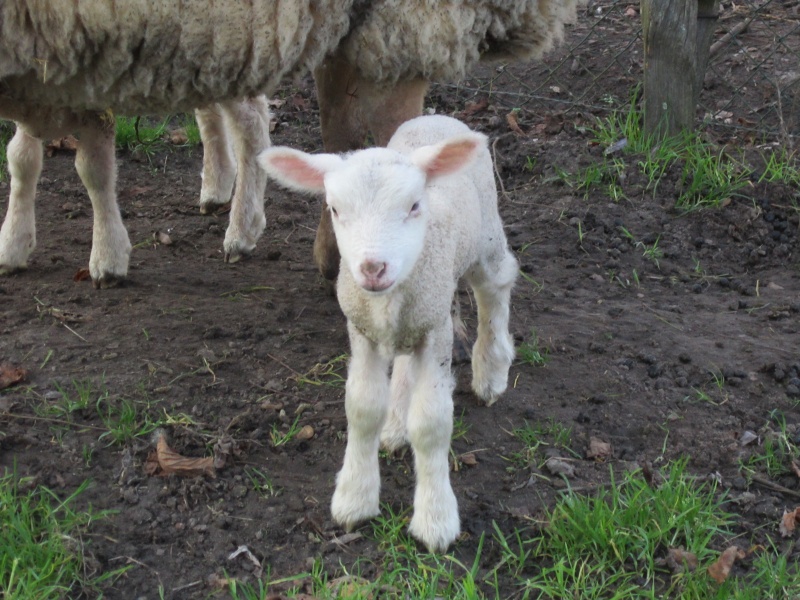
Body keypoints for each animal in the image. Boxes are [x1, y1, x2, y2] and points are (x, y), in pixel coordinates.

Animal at [260, 115, 516, 552]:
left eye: (414, 206)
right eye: (334, 209)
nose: (373, 268)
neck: (389, 299)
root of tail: (436, 116)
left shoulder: (436, 330)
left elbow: (431, 423)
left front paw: (435, 521)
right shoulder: (363, 329)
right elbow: (362, 409)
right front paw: (354, 500)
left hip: (484, 236)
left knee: (496, 287)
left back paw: (491, 374)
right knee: (404, 362)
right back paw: (395, 425)